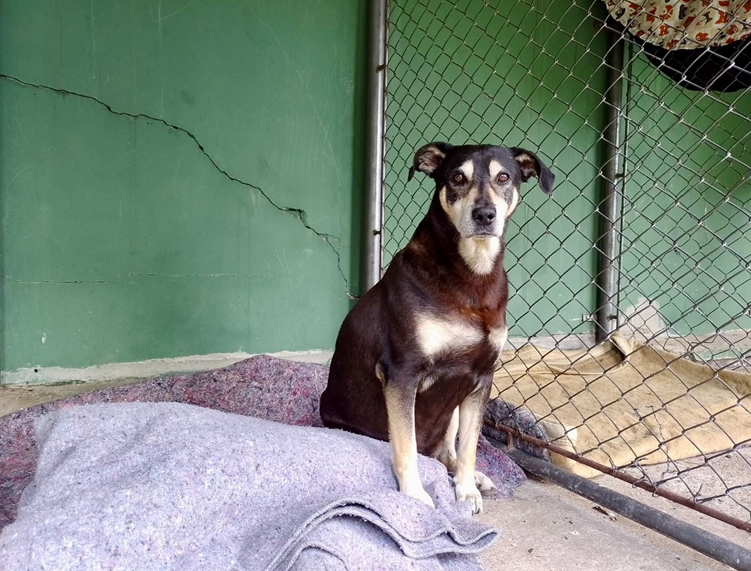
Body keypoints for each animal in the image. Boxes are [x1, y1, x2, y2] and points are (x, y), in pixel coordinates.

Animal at [320, 142, 556, 512]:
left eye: (504, 177)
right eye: (458, 177)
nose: (485, 215)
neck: (473, 274)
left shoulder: (480, 378)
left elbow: (469, 446)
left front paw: (466, 490)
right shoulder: (402, 373)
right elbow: (406, 447)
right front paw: (415, 495)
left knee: (447, 449)